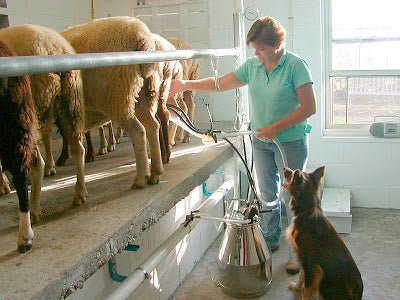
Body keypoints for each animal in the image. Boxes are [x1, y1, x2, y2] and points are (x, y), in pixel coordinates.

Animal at [60, 17, 160, 188]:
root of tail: (142, 37)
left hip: (117, 97)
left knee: (138, 131)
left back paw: (141, 179)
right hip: (138, 96)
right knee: (152, 126)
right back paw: (155, 173)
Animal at [282, 166, 364, 300]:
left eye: (293, 173)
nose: (284, 167)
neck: (306, 212)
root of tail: (358, 296)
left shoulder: (310, 263)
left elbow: (307, 286)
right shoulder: (302, 258)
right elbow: (301, 275)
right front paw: (297, 287)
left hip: (324, 285)